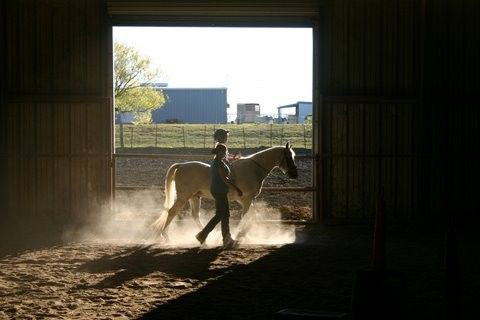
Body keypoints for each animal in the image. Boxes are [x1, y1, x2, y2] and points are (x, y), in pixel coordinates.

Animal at [153, 143, 296, 240]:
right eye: (289, 157)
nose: (294, 174)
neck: (253, 169)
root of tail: (181, 165)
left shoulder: (244, 200)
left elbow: (253, 215)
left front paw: (244, 233)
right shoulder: (246, 199)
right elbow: (245, 216)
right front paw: (239, 233)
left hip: (195, 197)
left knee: (195, 216)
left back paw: (204, 237)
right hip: (183, 196)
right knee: (172, 211)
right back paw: (166, 236)